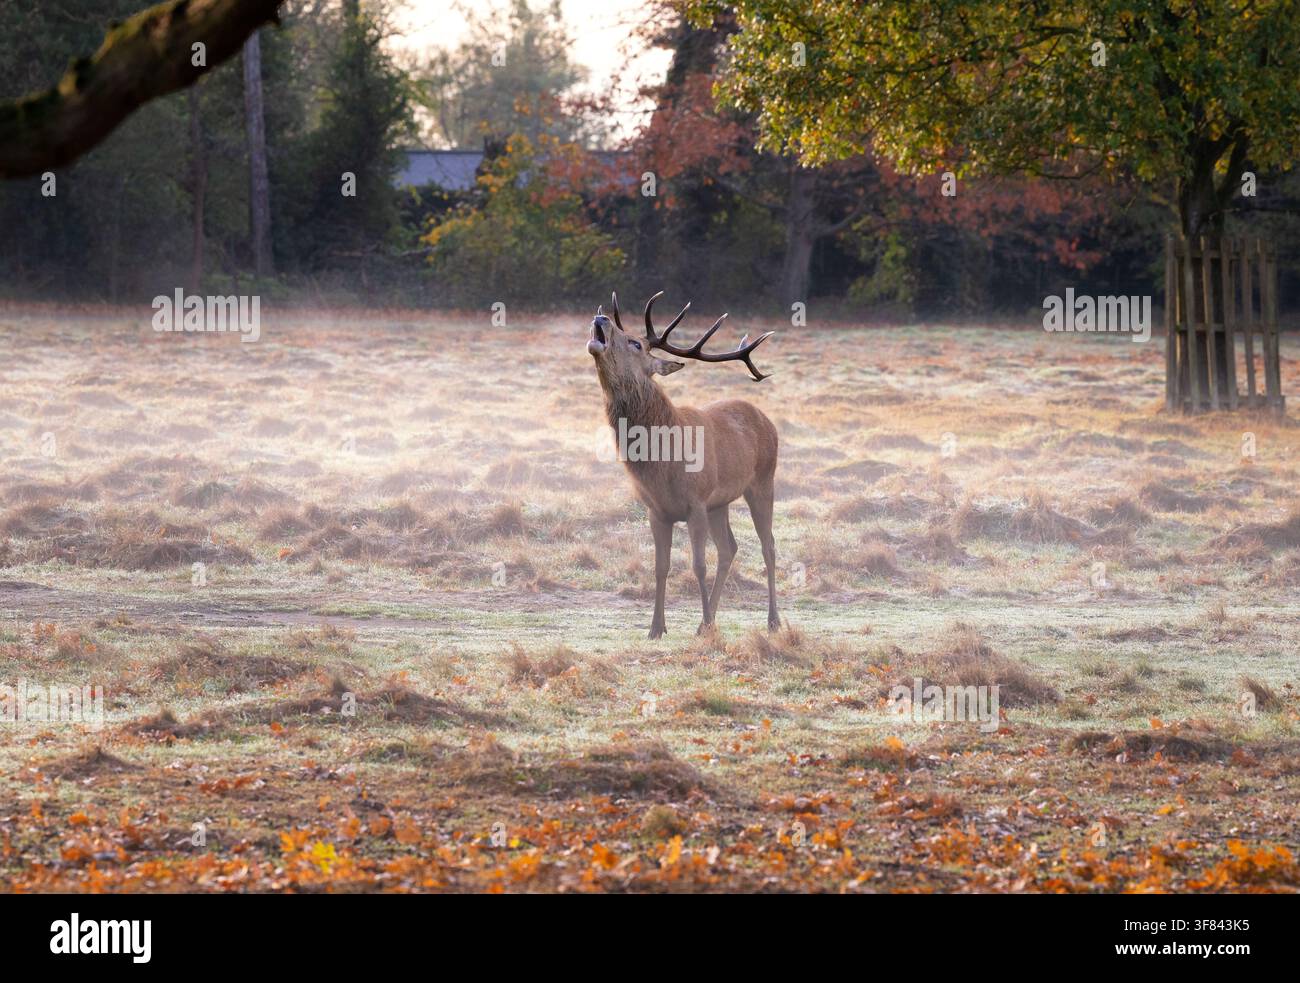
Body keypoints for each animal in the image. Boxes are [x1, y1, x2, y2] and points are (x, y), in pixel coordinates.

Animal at [587, 291, 779, 639]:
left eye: (636, 343)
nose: (601, 318)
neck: (664, 463)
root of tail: (767, 419)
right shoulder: (656, 510)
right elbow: (660, 567)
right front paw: (656, 628)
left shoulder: (696, 502)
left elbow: (698, 565)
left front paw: (703, 624)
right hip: (720, 502)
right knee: (729, 548)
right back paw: (708, 621)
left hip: (763, 481)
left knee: (768, 546)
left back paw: (772, 621)